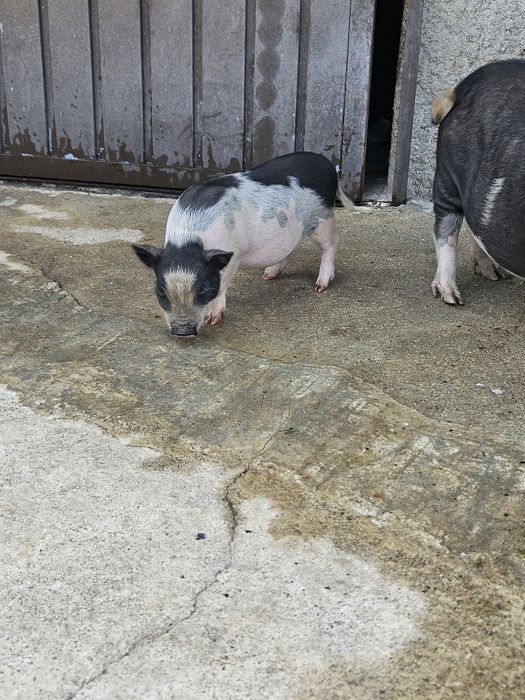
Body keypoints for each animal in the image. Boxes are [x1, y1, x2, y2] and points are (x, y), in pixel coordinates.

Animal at [133, 151, 353, 336]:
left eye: (204, 290)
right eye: (161, 293)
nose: (182, 331)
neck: (188, 239)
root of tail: (327, 163)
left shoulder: (234, 255)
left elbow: (222, 286)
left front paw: (214, 320)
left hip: (322, 220)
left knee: (332, 243)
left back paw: (320, 286)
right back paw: (268, 276)